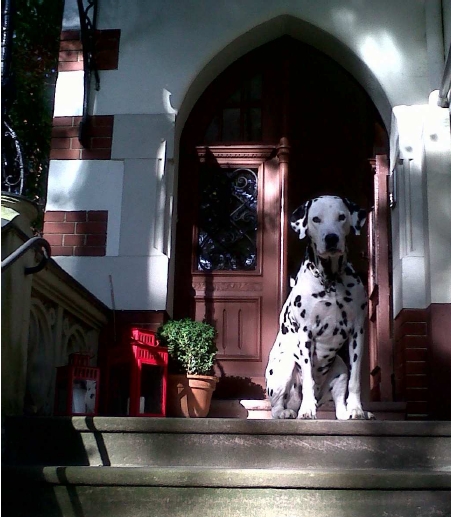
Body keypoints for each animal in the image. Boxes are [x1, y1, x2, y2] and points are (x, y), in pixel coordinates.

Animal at [266, 195, 376, 420]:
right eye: (316, 219)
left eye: (341, 217)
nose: (331, 238)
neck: (331, 280)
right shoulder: (306, 335)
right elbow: (308, 379)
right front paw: (307, 410)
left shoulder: (357, 333)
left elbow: (355, 380)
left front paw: (357, 409)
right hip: (284, 366)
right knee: (276, 406)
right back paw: (286, 412)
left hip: (340, 368)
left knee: (340, 406)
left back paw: (350, 413)